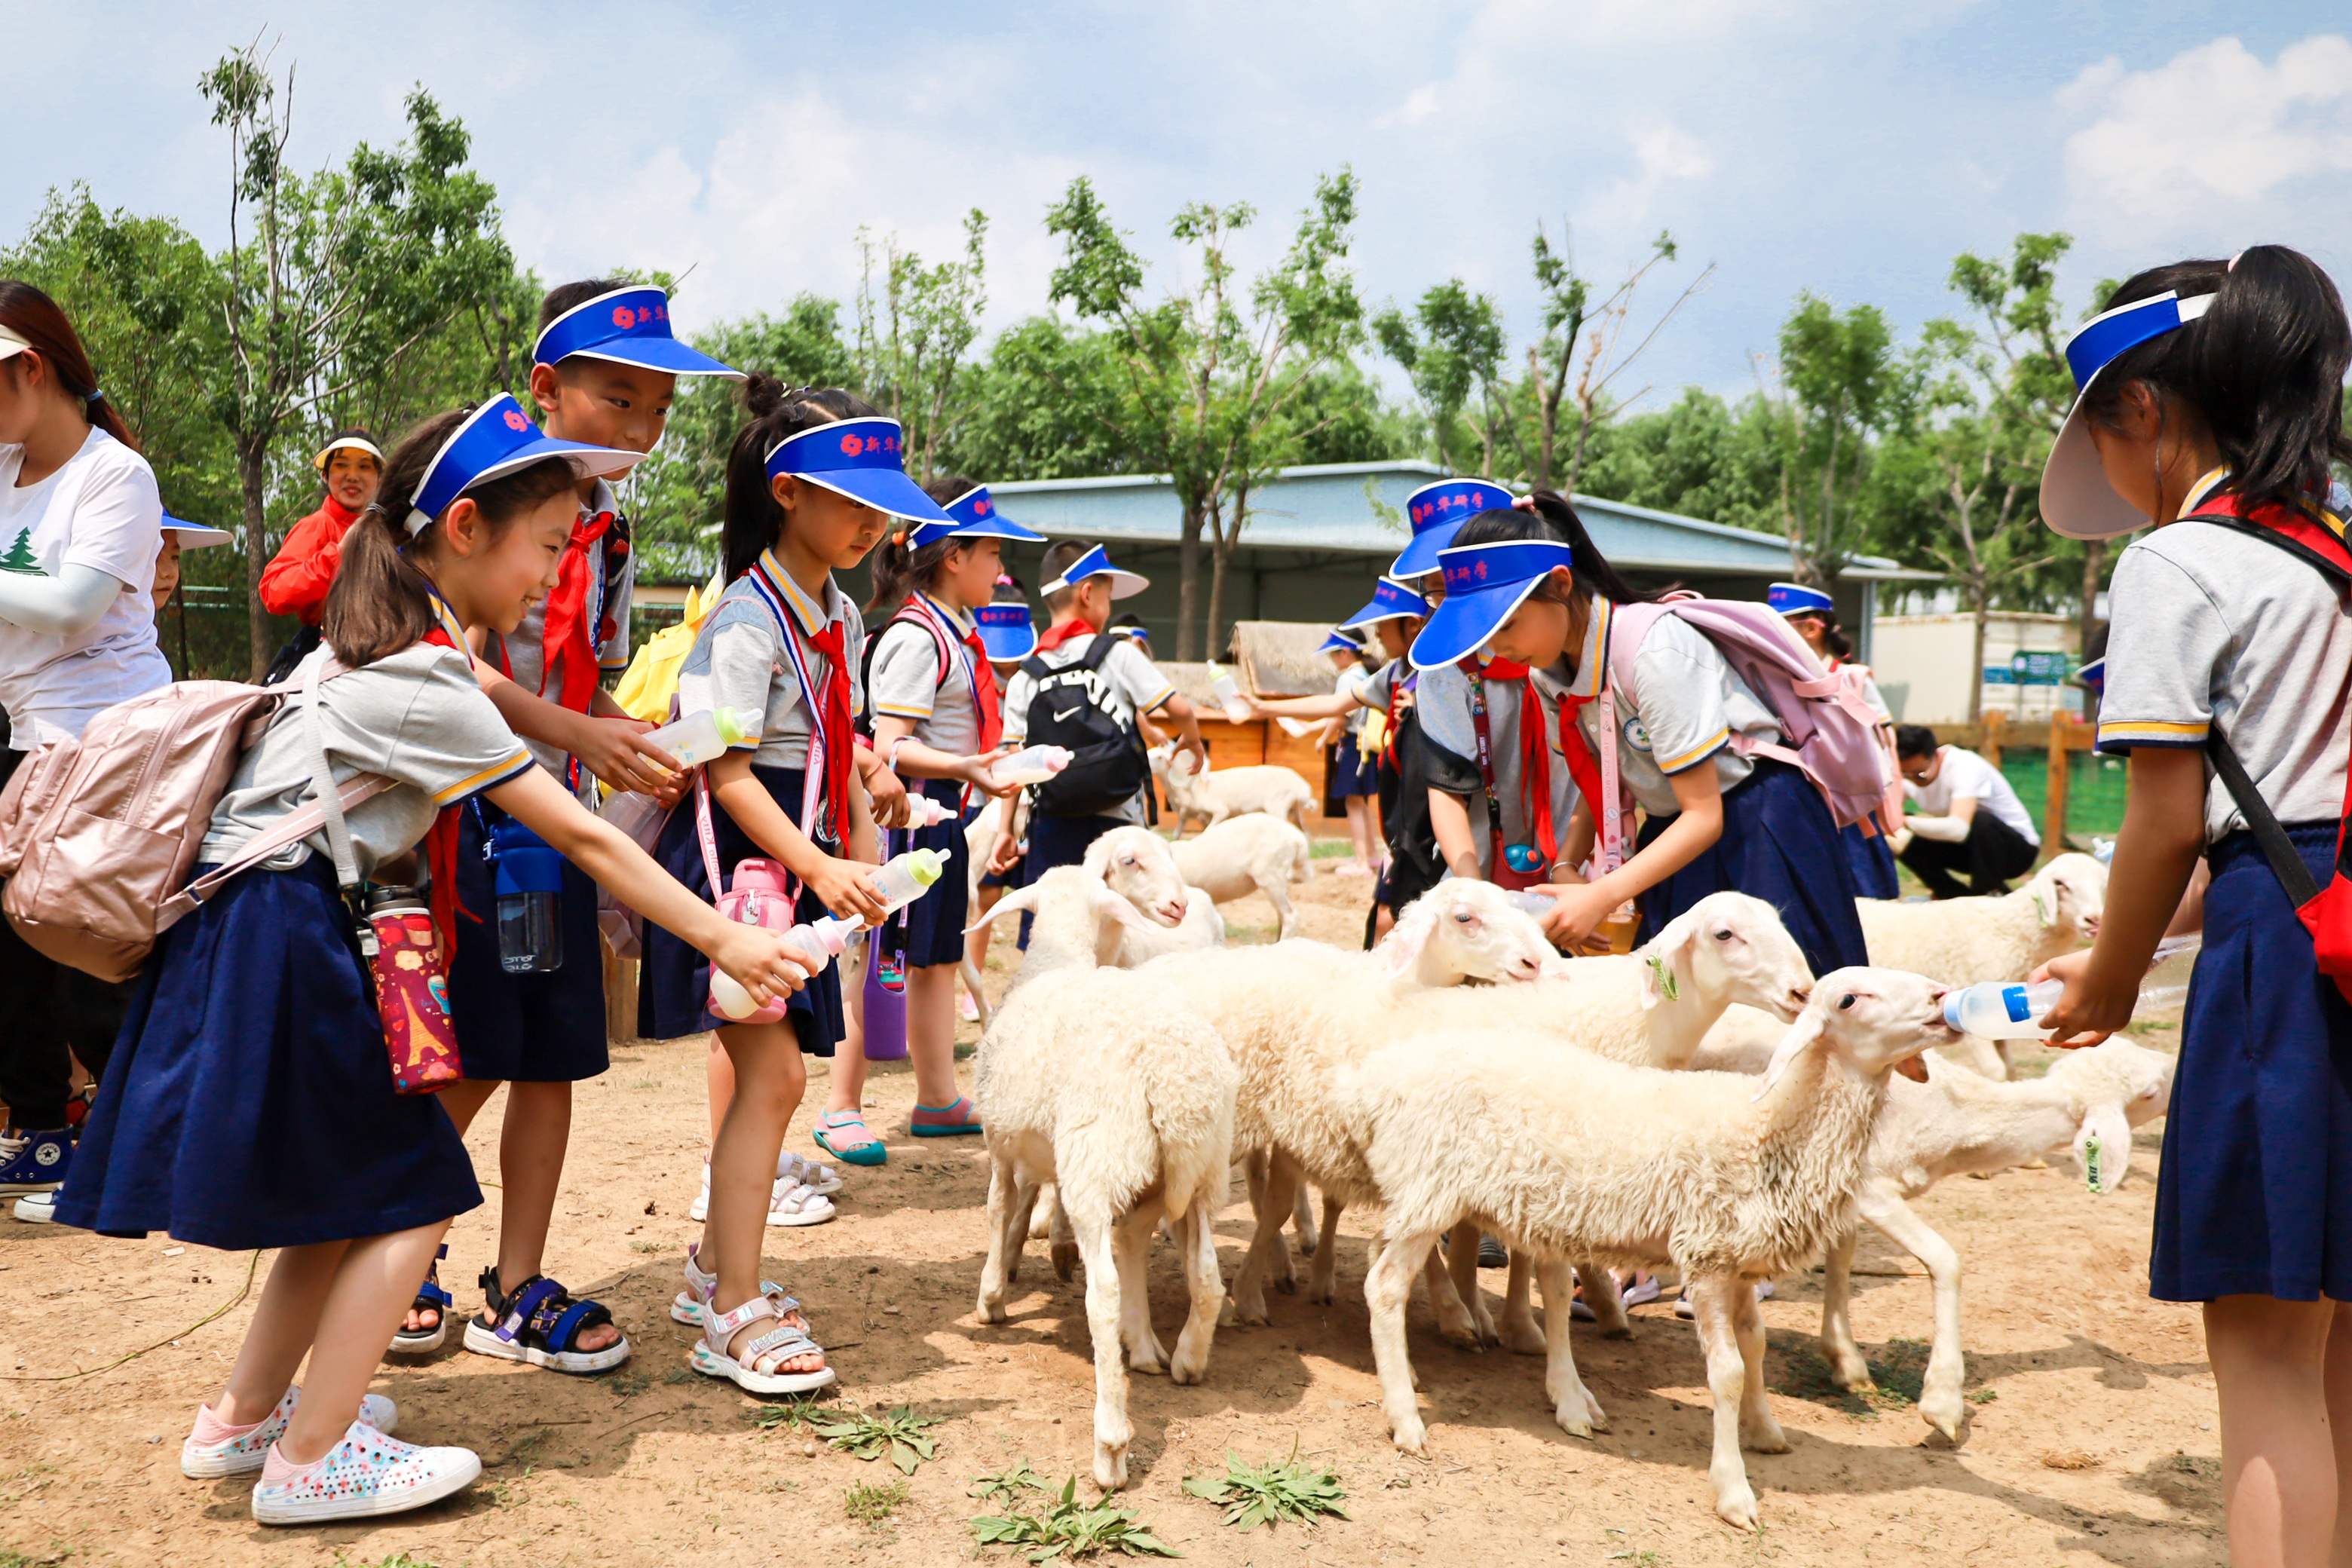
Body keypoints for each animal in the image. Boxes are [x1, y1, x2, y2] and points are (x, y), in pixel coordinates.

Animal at [964, 865, 1242, 1495]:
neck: (1055, 960)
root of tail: (1172, 1076)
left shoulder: (1001, 1144)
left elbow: (999, 1212)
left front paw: (992, 1298)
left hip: (1097, 1158)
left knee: (1106, 1293)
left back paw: (1110, 1444)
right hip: (1198, 1170)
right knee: (1201, 1274)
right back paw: (1178, 1359)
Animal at [1143, 743, 1317, 841]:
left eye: (1159, 757)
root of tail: (1302, 786)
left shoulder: (1218, 811)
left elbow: (1208, 832)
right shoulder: (1186, 815)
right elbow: (1177, 835)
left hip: (1277, 806)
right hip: (1294, 809)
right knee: (1304, 832)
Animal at [1336, 968, 1956, 1533]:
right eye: (1850, 999)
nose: (1943, 998)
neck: (1773, 1125)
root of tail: (1373, 1083)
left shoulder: (1739, 1260)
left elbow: (1755, 1347)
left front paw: (1765, 1431)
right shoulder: (1706, 1257)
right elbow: (1728, 1372)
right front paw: (1732, 1489)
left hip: (1414, 1196)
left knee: (1377, 1262)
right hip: (1430, 1188)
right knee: (1385, 1287)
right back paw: (1406, 1419)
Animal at [1806, 1034, 2173, 1438]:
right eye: (2150, 1093)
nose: (2177, 1066)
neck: (1957, 1115)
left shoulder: (1839, 1189)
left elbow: (1841, 1255)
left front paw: (1846, 1361)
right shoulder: (1871, 1187)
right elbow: (1946, 1262)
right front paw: (1943, 1399)